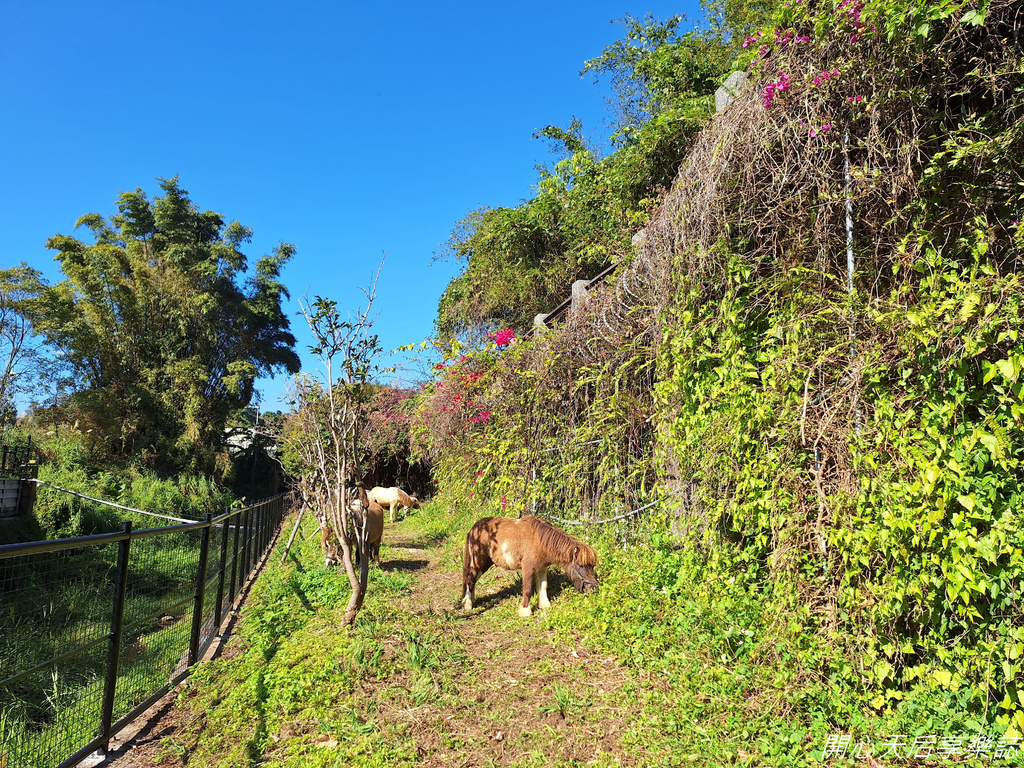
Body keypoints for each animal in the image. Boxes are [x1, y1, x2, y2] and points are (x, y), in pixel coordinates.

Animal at [460, 518, 598, 618]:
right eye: (581, 565)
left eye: (592, 566)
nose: (594, 588)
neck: (540, 541)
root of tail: (474, 527)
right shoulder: (528, 569)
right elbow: (527, 590)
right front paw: (525, 611)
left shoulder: (542, 568)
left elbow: (543, 586)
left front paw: (544, 605)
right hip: (477, 560)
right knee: (470, 578)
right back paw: (468, 604)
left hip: (486, 563)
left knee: (472, 580)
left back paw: (471, 600)